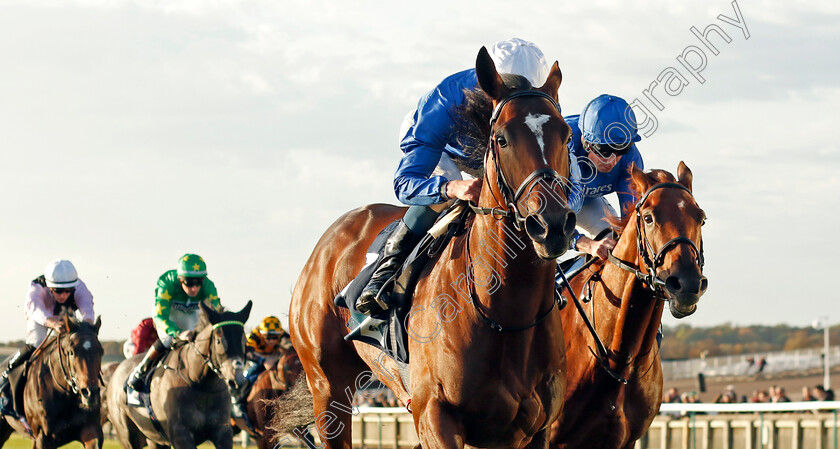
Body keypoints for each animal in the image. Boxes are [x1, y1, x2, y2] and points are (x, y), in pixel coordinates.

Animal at [272, 46, 580, 449]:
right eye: (501, 139)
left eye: (566, 135)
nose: (552, 225)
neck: (507, 315)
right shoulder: (435, 415)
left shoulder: (531, 430)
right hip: (328, 387)